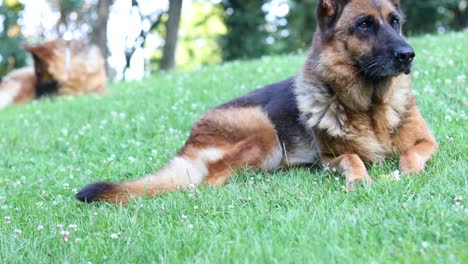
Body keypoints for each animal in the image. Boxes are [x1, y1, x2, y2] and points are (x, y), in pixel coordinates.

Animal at [77, 0, 438, 204]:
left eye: (395, 21)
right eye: (364, 24)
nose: (408, 55)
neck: (370, 106)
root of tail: (192, 135)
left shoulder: (428, 142)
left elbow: (410, 154)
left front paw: (406, 173)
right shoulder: (332, 156)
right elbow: (353, 159)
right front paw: (360, 180)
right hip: (263, 133)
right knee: (205, 184)